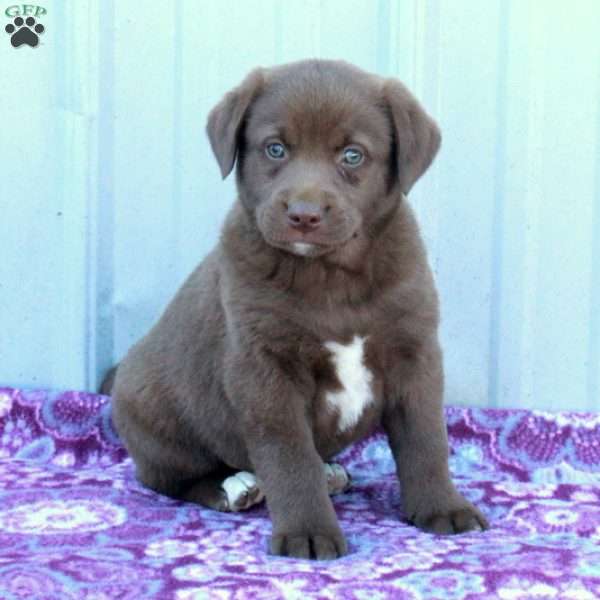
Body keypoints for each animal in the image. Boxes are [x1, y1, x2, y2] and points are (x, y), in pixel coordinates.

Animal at [106, 58, 488, 560]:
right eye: (275, 148)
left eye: (352, 155)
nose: (304, 214)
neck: (331, 278)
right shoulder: (265, 368)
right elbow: (289, 456)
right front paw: (307, 531)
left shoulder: (415, 351)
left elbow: (427, 440)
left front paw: (443, 507)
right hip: (154, 415)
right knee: (169, 476)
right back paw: (233, 487)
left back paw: (329, 474)